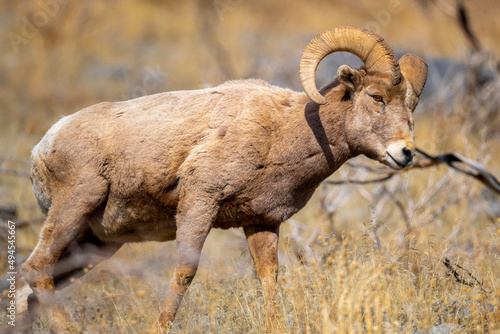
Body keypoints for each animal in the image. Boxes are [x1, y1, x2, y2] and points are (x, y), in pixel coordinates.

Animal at [21, 26, 426, 332]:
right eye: (376, 97)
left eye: (411, 105)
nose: (406, 153)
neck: (282, 132)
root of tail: (44, 144)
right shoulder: (200, 203)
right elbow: (184, 273)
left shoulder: (262, 223)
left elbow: (268, 279)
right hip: (74, 208)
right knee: (35, 270)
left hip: (94, 244)